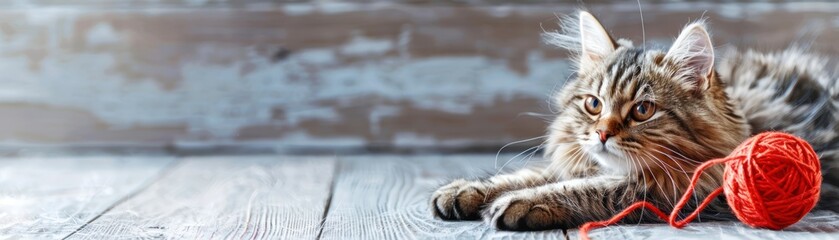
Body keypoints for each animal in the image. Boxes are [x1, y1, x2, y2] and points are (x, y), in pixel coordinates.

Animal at [430, 10, 836, 231]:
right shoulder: (576, 162)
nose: (601, 134)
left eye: (642, 110)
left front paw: (520, 204)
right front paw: (464, 191)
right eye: (593, 104)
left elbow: (584, 189)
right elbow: (529, 174)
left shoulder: (675, 190)